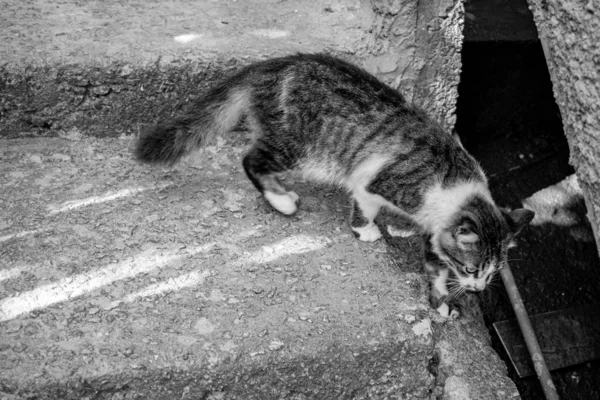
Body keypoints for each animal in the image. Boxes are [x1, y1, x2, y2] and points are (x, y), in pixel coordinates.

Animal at [136, 53, 536, 318]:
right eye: (471, 270)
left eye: (493, 273)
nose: (478, 288)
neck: (453, 184)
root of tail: (272, 65)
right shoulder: (375, 179)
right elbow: (365, 203)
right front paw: (366, 230)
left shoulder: (435, 227)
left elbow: (435, 264)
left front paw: (442, 301)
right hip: (299, 147)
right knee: (250, 159)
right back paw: (281, 200)